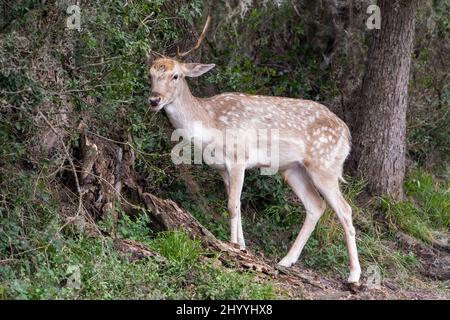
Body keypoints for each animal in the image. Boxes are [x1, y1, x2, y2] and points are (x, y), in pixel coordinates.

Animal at [148, 17, 362, 284]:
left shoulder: (238, 158)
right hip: (293, 169)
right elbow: (237, 205)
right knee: (316, 206)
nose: (154, 100)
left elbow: (231, 205)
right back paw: (286, 261)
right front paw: (242, 247)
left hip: (325, 165)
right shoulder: (222, 169)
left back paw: (354, 275)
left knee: (345, 210)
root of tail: (347, 133)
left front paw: (231, 247)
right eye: (150, 74)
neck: (210, 124)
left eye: (176, 75)